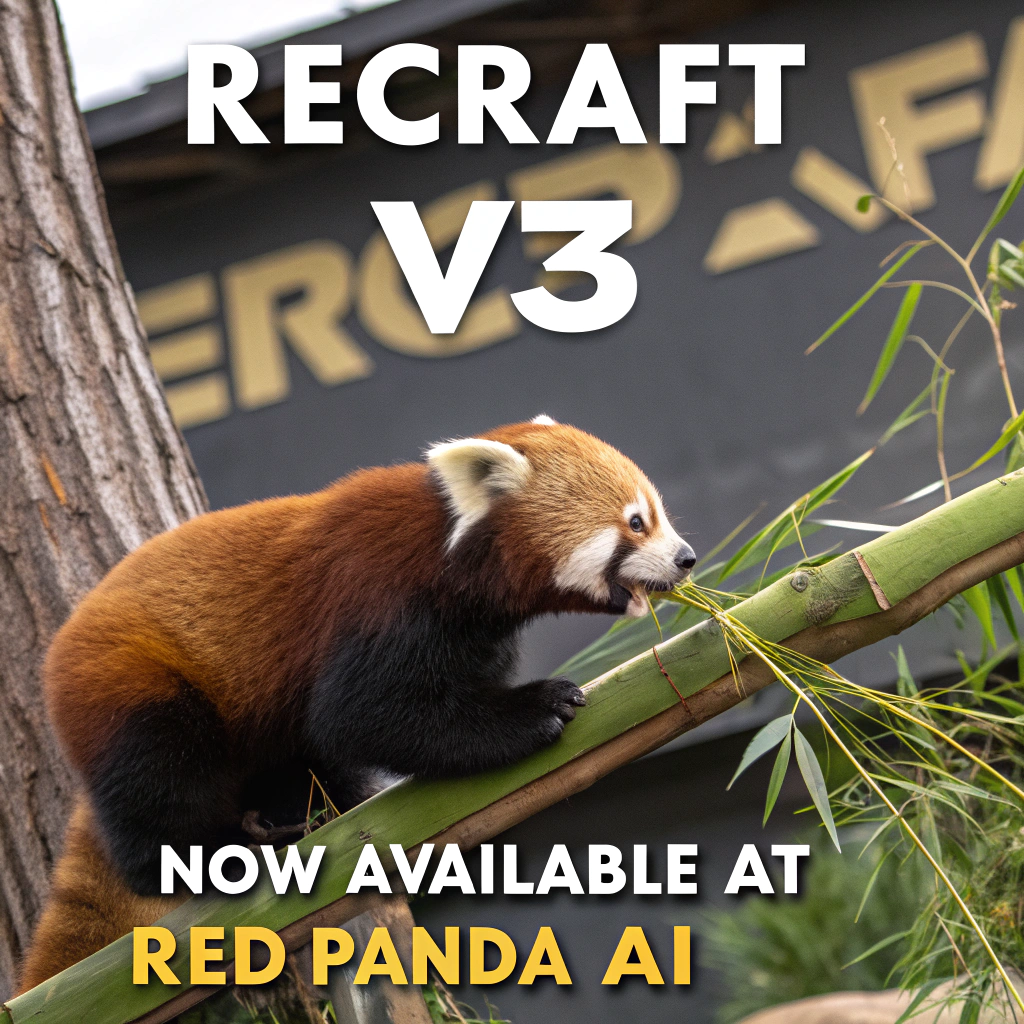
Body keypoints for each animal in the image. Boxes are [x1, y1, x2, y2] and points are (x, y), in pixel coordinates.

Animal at [18, 417, 694, 989]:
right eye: (636, 523)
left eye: (658, 514)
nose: (687, 557)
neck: (451, 555)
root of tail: (58, 646)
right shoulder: (378, 598)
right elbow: (361, 717)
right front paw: (535, 710)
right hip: (135, 686)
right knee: (158, 780)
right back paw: (213, 855)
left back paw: (313, 818)